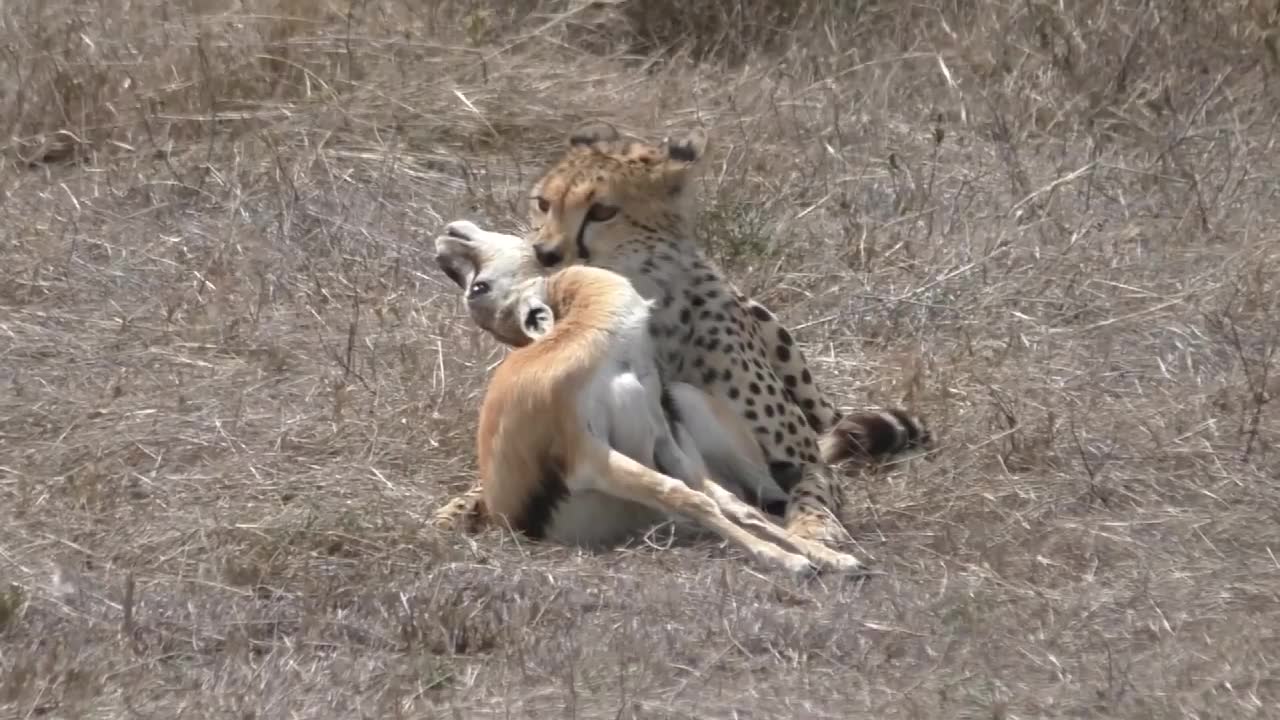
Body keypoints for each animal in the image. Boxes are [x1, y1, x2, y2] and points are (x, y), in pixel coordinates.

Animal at [435, 219, 865, 571]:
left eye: (478, 287)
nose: (442, 247)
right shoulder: (589, 457)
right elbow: (685, 496)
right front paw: (786, 561)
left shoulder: (661, 435)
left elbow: (722, 502)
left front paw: (827, 557)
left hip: (687, 404)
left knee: (754, 497)